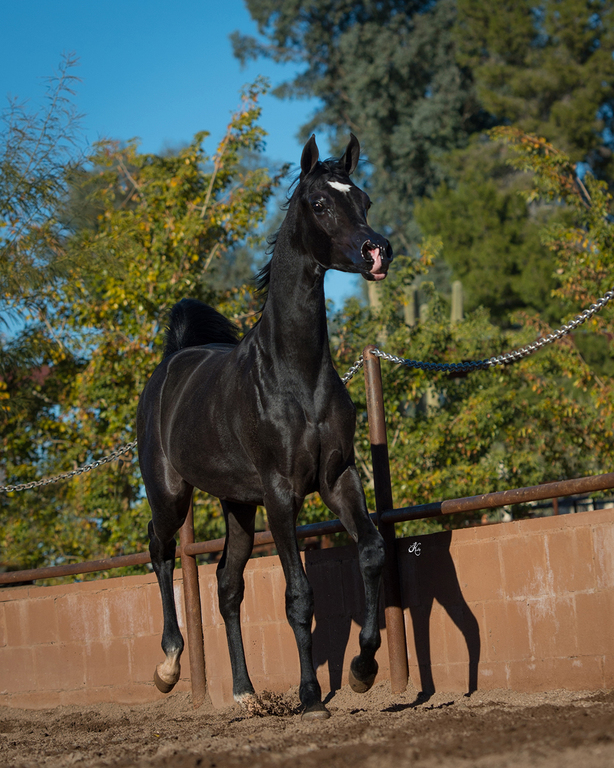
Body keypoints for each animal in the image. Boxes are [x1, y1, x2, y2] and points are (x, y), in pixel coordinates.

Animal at [137, 134, 394, 719]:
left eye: (364, 199)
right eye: (319, 203)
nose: (377, 252)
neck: (296, 375)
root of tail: (171, 363)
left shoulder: (338, 479)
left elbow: (371, 552)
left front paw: (363, 669)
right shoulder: (282, 494)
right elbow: (298, 596)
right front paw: (311, 697)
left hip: (237, 505)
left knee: (226, 584)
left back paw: (244, 692)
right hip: (170, 495)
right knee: (159, 550)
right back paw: (168, 667)